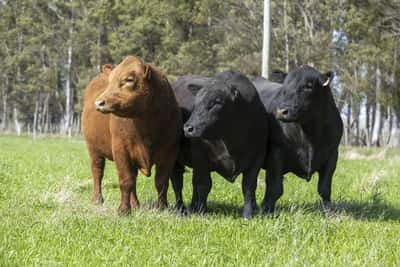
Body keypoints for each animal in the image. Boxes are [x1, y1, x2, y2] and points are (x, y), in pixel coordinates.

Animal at [82, 56, 182, 216]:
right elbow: (125, 181)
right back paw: (97, 199)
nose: (99, 102)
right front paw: (123, 210)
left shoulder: (170, 151)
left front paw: (162, 208)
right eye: (110, 81)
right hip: (94, 150)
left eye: (129, 79)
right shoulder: (121, 150)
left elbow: (161, 181)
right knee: (97, 172)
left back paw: (136, 205)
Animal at [170, 71, 268, 220]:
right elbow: (204, 184)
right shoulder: (200, 158)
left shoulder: (256, 158)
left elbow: (249, 186)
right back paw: (181, 209)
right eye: (195, 104)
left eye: (217, 102)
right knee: (177, 182)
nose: (188, 128)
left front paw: (248, 214)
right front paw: (202, 212)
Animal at [255, 66, 342, 215]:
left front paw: (329, 212)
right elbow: (275, 188)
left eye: (309, 86)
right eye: (284, 86)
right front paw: (266, 210)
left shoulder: (332, 155)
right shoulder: (276, 155)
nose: (282, 111)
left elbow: (325, 188)